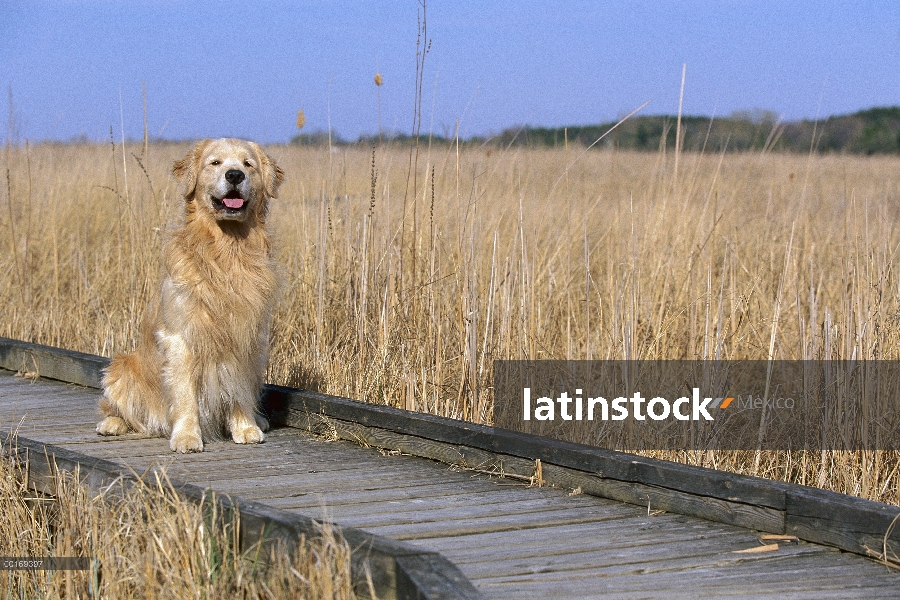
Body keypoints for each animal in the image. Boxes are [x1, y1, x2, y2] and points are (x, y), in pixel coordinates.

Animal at [96, 139, 284, 450]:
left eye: (248, 164)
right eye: (215, 163)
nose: (235, 175)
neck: (226, 251)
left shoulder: (248, 336)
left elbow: (240, 388)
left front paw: (245, 427)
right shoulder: (181, 338)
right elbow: (185, 396)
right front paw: (187, 436)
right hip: (121, 368)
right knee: (118, 410)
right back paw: (111, 424)